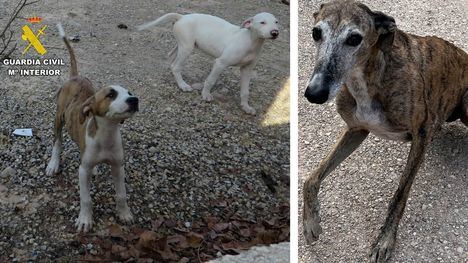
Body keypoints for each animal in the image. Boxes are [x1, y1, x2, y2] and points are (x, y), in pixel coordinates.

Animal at [46, 23, 140, 233]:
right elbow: (86, 198)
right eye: (111, 94)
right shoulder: (82, 171)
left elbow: (121, 194)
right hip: (58, 118)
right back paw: (53, 163)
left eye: (129, 92)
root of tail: (76, 76)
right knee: (57, 142)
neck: (106, 135)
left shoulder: (118, 166)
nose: (134, 100)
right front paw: (85, 220)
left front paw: (124, 214)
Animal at [137, 12, 280, 114]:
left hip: (183, 45)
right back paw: (183, 85)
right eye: (262, 22)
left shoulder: (247, 70)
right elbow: (210, 80)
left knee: (171, 57)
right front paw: (205, 94)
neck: (250, 42)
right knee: (175, 66)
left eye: (276, 22)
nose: (275, 32)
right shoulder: (220, 63)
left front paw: (246, 107)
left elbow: (245, 91)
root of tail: (182, 17)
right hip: (187, 48)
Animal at [302, 1, 466, 262]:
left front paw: (385, 240)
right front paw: (310, 222)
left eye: (354, 38)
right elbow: (310, 178)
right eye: (316, 33)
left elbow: (400, 194)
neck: (368, 78)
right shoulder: (356, 130)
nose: (314, 94)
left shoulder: (422, 132)